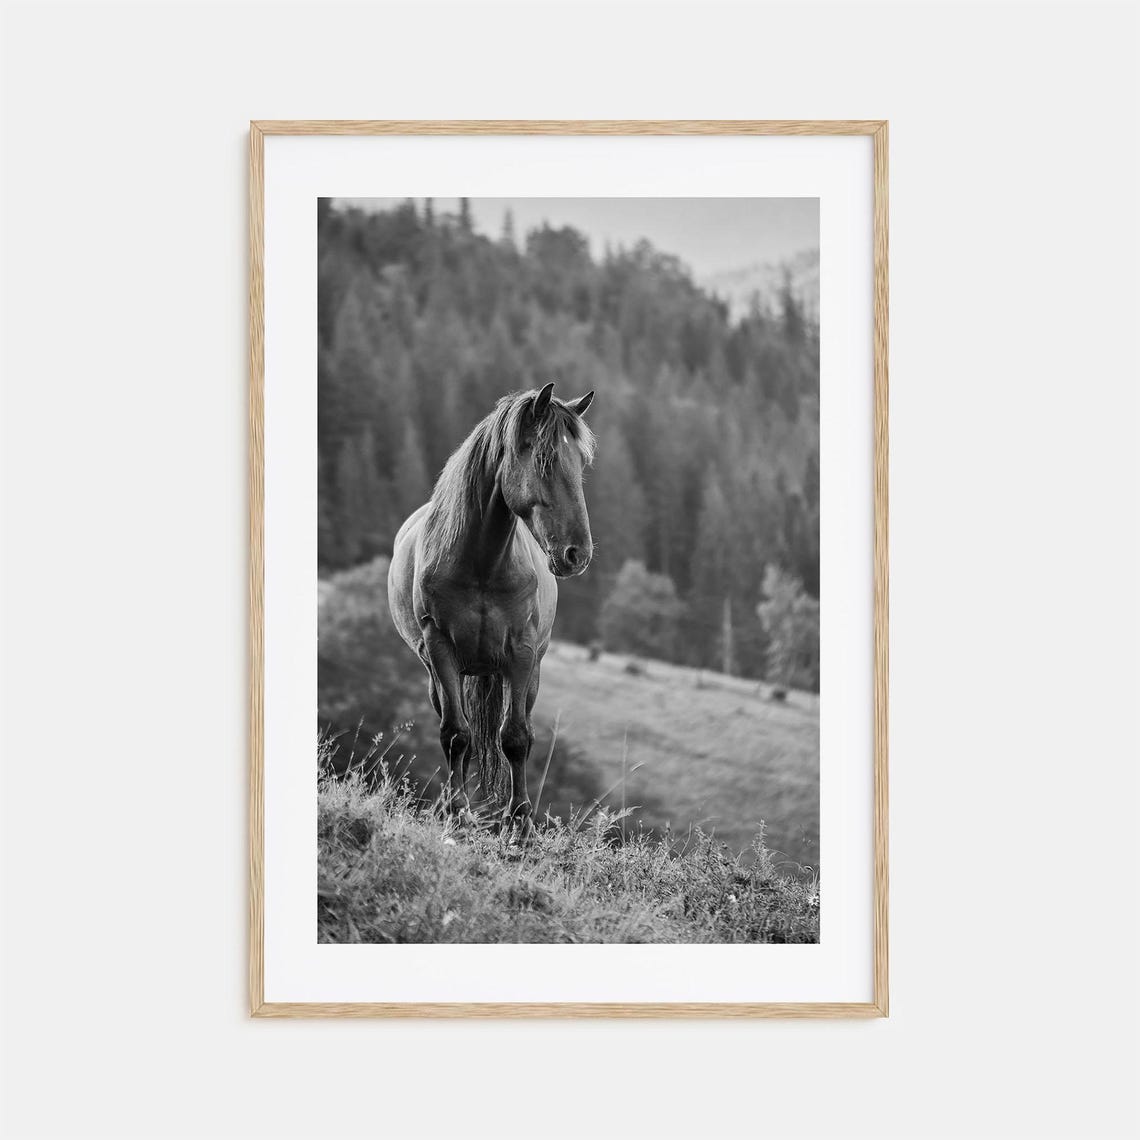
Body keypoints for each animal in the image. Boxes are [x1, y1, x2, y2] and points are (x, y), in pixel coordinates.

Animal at [388, 382, 596, 836]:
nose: (577, 554)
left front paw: (520, 822)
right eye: (545, 460)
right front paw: (457, 811)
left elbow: (515, 737)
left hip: (527, 672)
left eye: (581, 463)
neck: (481, 563)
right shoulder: (441, 649)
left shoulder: (521, 653)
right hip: (440, 675)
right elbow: (456, 735)